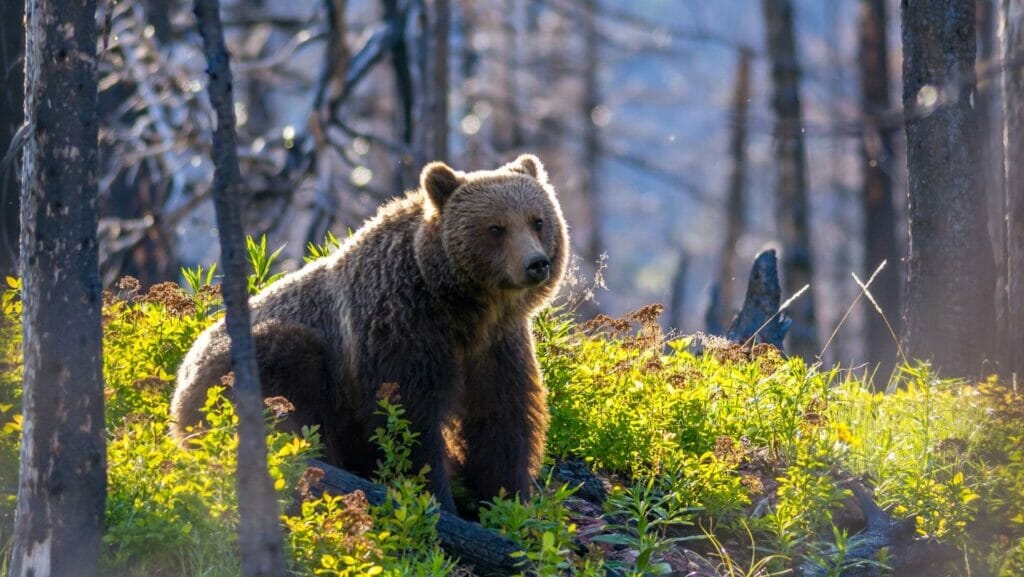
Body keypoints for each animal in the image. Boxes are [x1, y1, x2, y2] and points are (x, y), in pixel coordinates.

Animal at [170, 154, 569, 514]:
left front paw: (508, 502)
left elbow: (501, 418)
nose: (536, 264)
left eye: (538, 221)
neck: (462, 307)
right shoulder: (400, 326)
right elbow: (406, 419)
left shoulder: (496, 345)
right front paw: (437, 498)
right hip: (243, 367)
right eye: (495, 228)